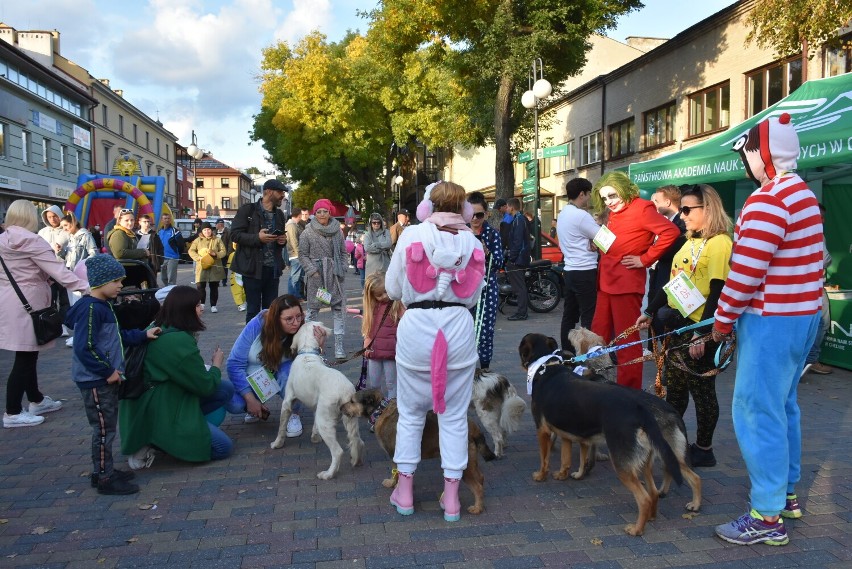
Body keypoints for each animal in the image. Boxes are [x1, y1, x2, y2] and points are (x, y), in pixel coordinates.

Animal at [272, 322, 364, 478]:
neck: (307, 352)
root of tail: (345, 391)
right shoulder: (317, 408)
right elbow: (314, 425)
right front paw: (315, 438)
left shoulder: (287, 402)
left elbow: (281, 427)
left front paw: (277, 443)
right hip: (349, 419)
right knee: (357, 440)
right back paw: (356, 461)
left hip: (325, 422)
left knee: (338, 452)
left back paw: (328, 474)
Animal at [346, 388, 496, 512]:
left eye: (352, 401)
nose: (341, 408)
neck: (380, 410)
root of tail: (473, 426)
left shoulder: (395, 454)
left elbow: (396, 472)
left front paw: (394, 485)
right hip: (472, 461)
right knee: (480, 477)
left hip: (464, 465)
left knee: (477, 487)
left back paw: (477, 508)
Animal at [516, 330, 704, 536]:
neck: (547, 367)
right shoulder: (572, 433)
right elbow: (568, 459)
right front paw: (567, 474)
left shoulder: (544, 429)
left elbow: (546, 458)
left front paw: (541, 476)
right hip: (651, 458)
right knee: (659, 488)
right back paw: (653, 514)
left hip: (627, 462)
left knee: (648, 496)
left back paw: (638, 528)